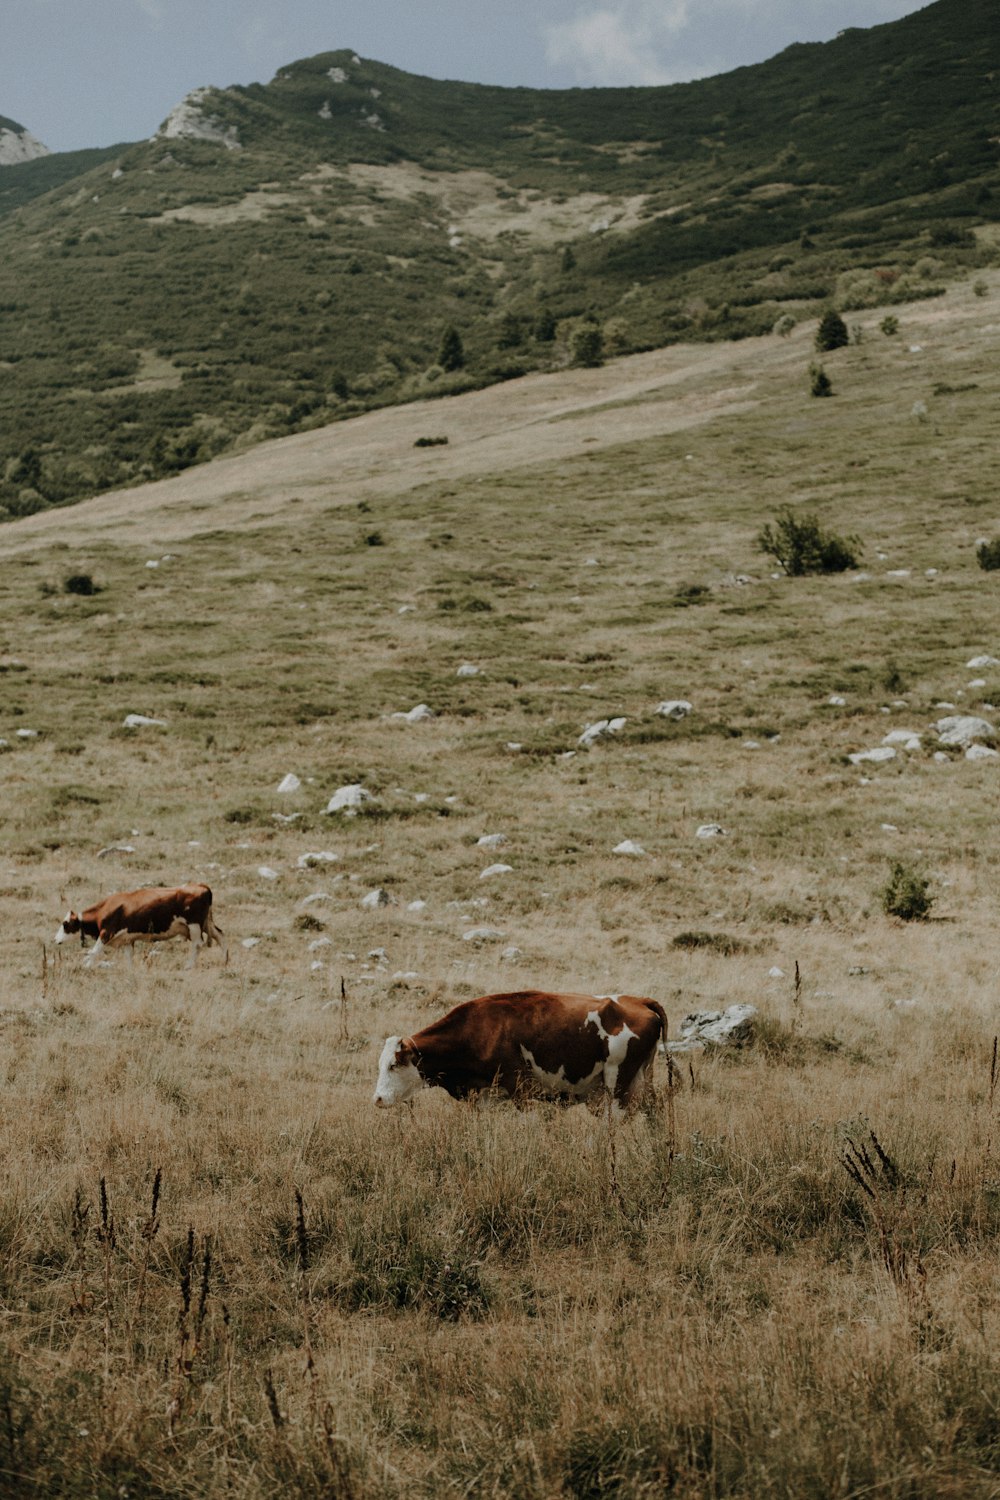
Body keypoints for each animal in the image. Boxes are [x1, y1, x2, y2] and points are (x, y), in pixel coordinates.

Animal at [54, 882, 223, 966]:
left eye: (65, 924)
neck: (104, 909)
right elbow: (128, 958)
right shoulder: (127, 940)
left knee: (197, 945)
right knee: (219, 934)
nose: (55, 939)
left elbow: (94, 952)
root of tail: (201, 886)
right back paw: (226, 961)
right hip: (206, 923)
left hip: (195, 925)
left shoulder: (106, 933)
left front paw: (85, 966)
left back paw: (189, 965)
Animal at [371, 990, 668, 1122]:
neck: (479, 1029)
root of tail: (638, 1001)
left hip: (617, 1085)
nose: (378, 1099)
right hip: (643, 1080)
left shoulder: (522, 1091)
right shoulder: (484, 1097)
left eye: (393, 1064)